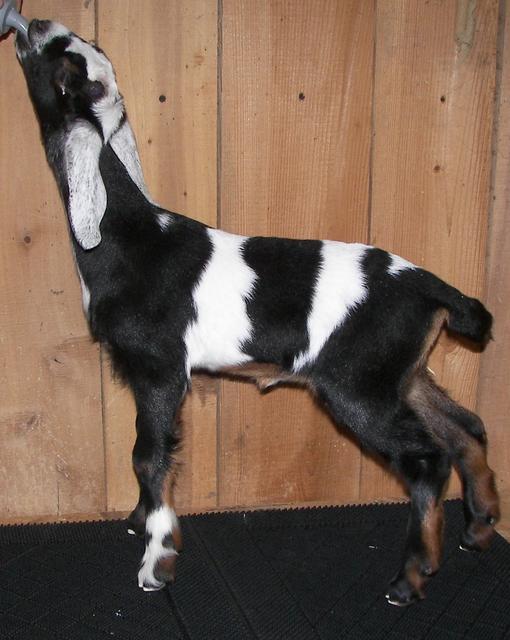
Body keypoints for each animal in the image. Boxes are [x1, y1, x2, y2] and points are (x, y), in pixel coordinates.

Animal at [16, 19, 499, 606]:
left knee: (429, 458)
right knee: (466, 429)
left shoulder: (159, 369)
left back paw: (412, 576)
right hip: (399, 374)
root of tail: (430, 286)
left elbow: (148, 455)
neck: (127, 236)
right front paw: (140, 519)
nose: (35, 23)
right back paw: (480, 527)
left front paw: (158, 558)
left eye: (66, 66)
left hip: (357, 388)